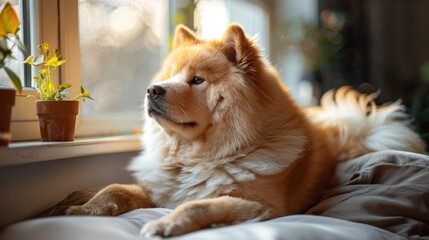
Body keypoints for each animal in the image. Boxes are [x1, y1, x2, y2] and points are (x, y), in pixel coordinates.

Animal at [64, 23, 424, 237]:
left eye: (197, 80)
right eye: (169, 76)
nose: (153, 90)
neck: (198, 157)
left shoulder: (261, 205)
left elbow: (197, 204)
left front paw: (165, 223)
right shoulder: (161, 191)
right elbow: (116, 188)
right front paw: (82, 208)